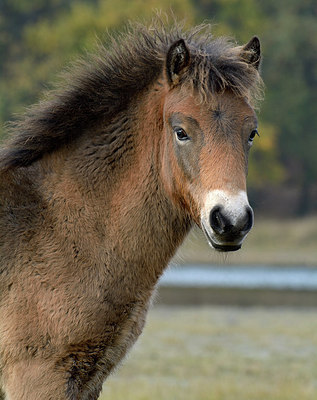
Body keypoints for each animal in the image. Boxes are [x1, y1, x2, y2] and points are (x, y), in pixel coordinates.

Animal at [0, 22, 262, 400]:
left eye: (251, 132)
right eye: (181, 131)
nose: (231, 219)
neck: (60, 226)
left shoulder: (90, 379)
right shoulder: (38, 377)